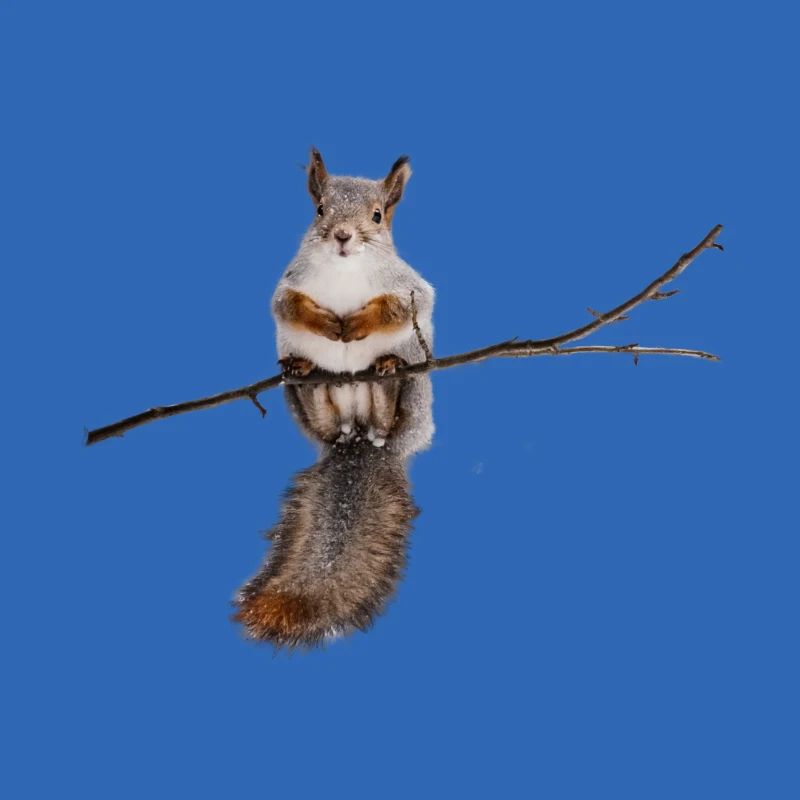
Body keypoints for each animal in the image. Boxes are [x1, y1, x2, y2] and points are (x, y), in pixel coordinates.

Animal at [233, 149, 435, 648]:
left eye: (378, 216)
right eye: (320, 209)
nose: (343, 236)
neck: (345, 271)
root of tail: (358, 437)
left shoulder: (411, 287)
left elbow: (405, 306)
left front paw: (358, 323)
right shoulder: (288, 284)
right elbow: (287, 306)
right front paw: (325, 324)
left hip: (414, 396)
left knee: (389, 407)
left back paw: (386, 372)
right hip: (304, 403)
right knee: (320, 407)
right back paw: (308, 374)